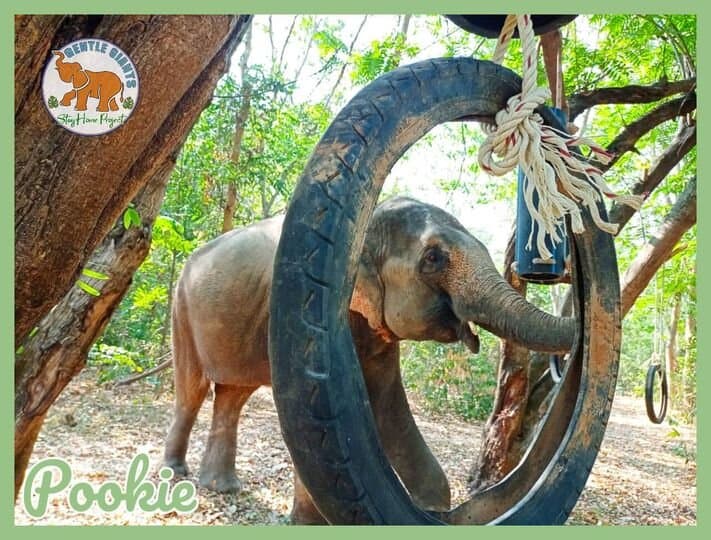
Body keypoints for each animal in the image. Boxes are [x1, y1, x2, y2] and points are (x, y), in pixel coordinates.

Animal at [164, 196, 575, 524]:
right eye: (434, 257)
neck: (367, 222)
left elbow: (388, 402)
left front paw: (434, 507)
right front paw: (310, 524)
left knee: (233, 394)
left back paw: (223, 487)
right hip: (181, 310)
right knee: (193, 391)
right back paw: (176, 474)